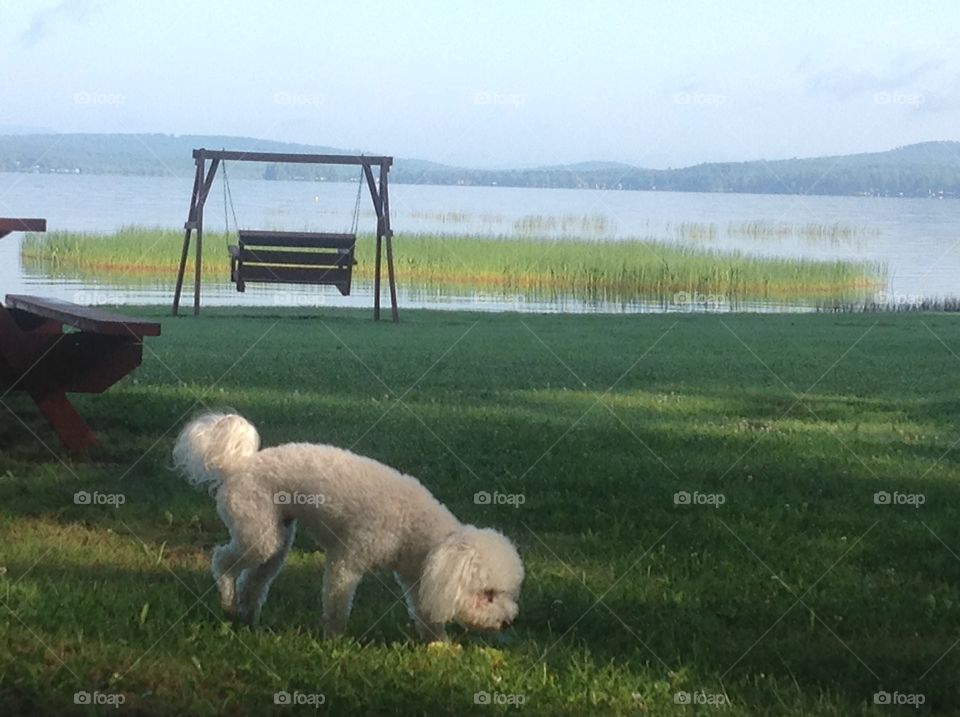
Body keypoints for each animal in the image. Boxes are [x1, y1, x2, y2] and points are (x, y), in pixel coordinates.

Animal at [176, 412, 528, 640]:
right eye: (487, 594)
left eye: (506, 592)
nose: (509, 622)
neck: (420, 531)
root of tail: (237, 465)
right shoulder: (347, 561)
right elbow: (337, 603)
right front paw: (333, 640)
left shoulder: (417, 576)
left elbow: (424, 612)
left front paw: (439, 646)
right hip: (256, 533)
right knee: (222, 561)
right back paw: (226, 599)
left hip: (275, 536)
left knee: (253, 580)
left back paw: (244, 615)